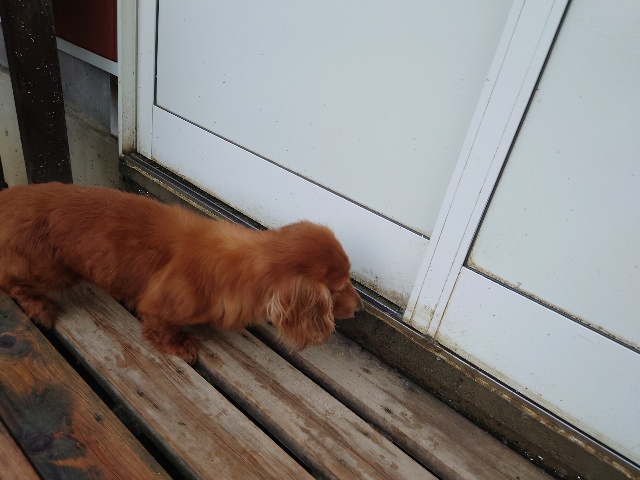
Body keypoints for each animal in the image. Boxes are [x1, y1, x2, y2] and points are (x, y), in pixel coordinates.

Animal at [0, 182, 364, 363]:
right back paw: (40, 309)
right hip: (48, 270)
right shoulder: (161, 307)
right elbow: (165, 329)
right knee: (12, 284)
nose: (360, 308)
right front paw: (180, 346)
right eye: (337, 288)